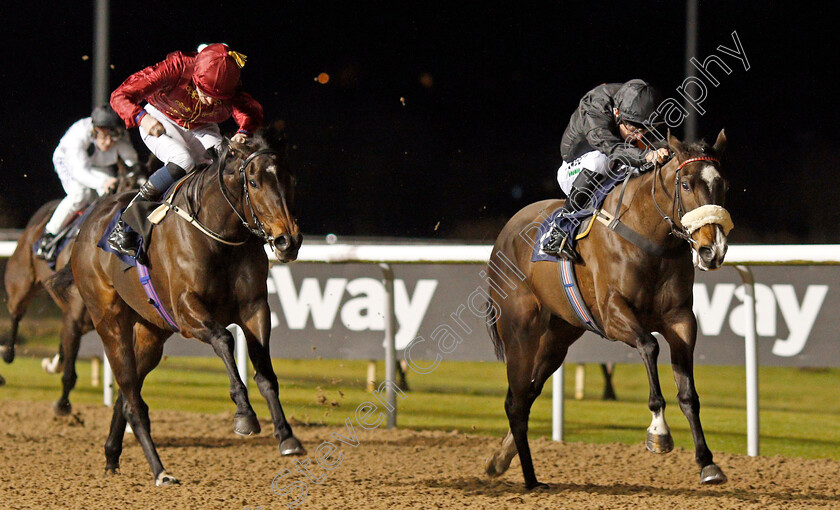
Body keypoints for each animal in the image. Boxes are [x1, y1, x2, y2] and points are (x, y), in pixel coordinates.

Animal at [2, 159, 148, 414]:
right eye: (129, 183)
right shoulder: (75, 316)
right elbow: (70, 371)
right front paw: (62, 404)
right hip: (21, 280)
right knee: (16, 312)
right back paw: (9, 353)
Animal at [50, 128, 304, 486]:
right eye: (253, 182)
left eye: (289, 179)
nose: (288, 241)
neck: (218, 234)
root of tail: (86, 226)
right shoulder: (186, 312)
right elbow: (224, 339)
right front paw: (244, 415)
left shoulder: (255, 309)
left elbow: (265, 373)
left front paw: (286, 435)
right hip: (109, 321)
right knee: (133, 399)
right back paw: (160, 470)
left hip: (151, 332)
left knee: (128, 395)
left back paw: (112, 455)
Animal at [482, 130, 732, 490]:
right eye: (685, 184)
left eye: (722, 183)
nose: (713, 250)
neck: (650, 239)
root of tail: (505, 233)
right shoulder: (613, 313)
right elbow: (649, 346)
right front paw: (659, 431)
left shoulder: (681, 319)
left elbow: (688, 393)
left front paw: (707, 463)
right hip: (519, 332)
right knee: (515, 401)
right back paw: (529, 479)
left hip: (558, 337)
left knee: (526, 395)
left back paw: (502, 460)